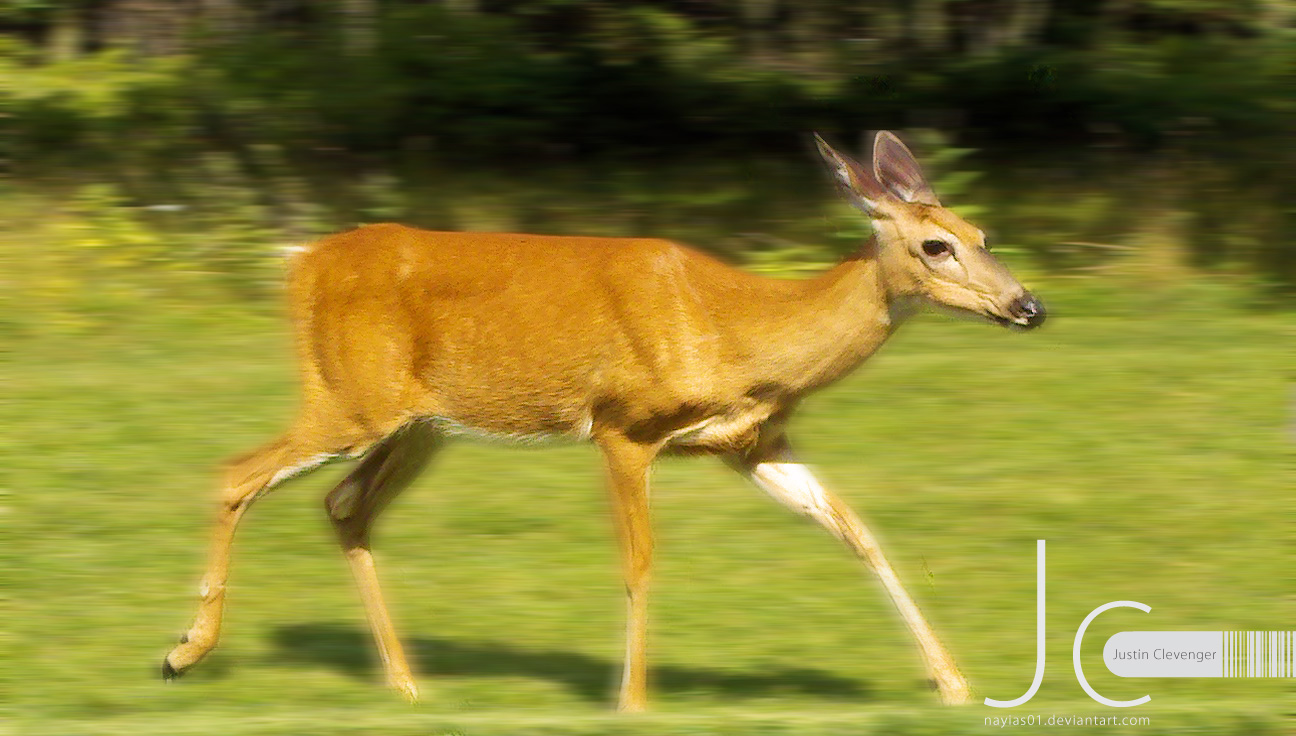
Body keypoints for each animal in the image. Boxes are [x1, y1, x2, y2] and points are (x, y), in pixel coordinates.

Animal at [159, 130, 1041, 704]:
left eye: (983, 232)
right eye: (935, 246)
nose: (1029, 306)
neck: (743, 332)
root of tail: (299, 264)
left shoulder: (752, 443)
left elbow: (859, 532)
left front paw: (954, 682)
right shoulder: (625, 426)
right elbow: (639, 561)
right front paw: (634, 700)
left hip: (416, 426)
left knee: (343, 504)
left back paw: (407, 684)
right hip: (351, 399)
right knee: (233, 474)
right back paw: (184, 653)